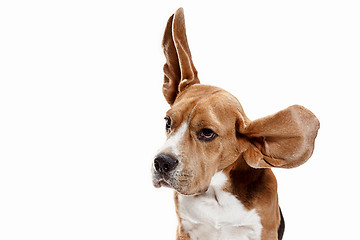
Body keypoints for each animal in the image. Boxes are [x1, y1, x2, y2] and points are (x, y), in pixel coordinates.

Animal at [151, 7, 318, 240]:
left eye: (207, 133)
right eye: (168, 122)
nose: (161, 163)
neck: (216, 192)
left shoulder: (264, 231)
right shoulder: (185, 229)